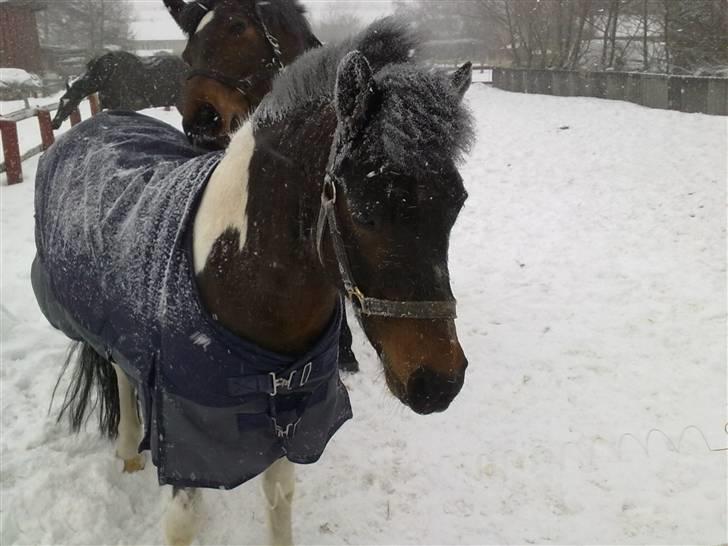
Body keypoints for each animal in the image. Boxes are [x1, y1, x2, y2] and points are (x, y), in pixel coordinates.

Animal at [51, 52, 186, 131]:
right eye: (61, 100)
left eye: (69, 102)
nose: (54, 123)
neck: (104, 78)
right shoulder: (105, 106)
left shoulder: (130, 106)